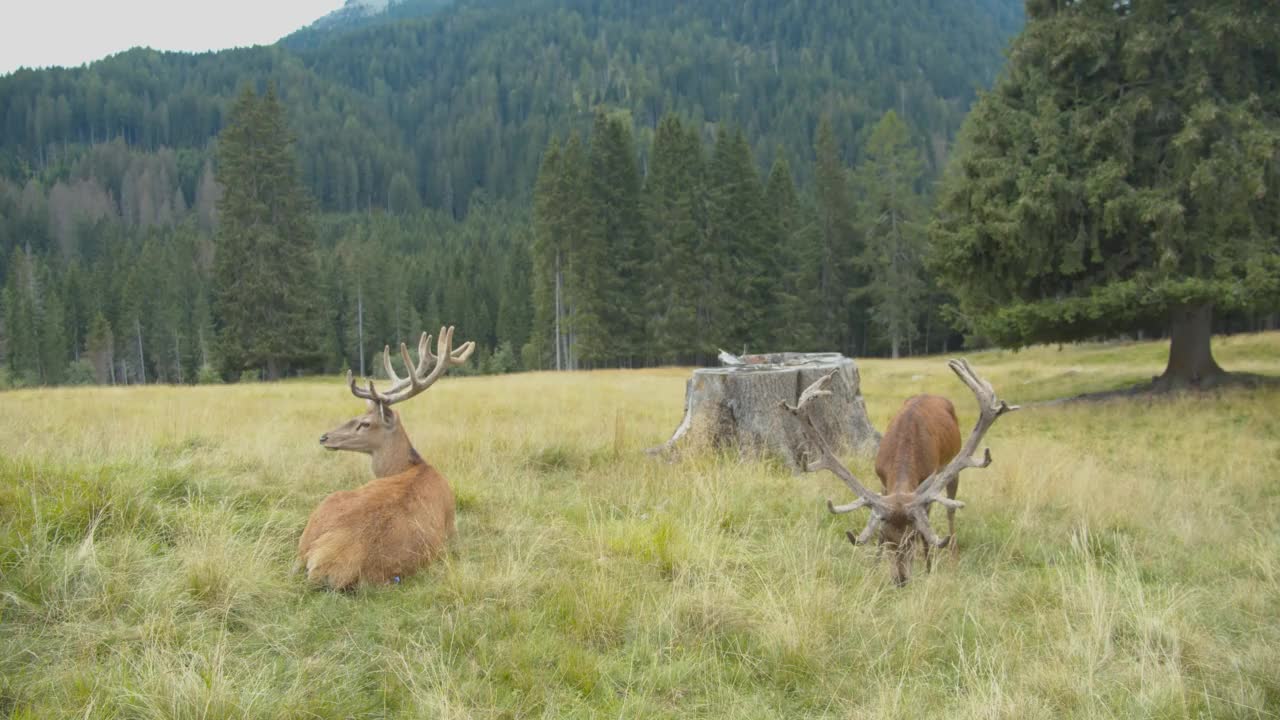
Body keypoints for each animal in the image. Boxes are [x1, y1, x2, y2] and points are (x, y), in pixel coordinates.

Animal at [778, 356, 1018, 584]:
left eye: (912, 535)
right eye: (885, 536)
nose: (900, 580)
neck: (905, 444)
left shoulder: (926, 483)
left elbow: (928, 526)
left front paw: (928, 568)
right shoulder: (883, 481)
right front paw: (874, 567)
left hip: (952, 466)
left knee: (950, 511)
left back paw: (953, 555)